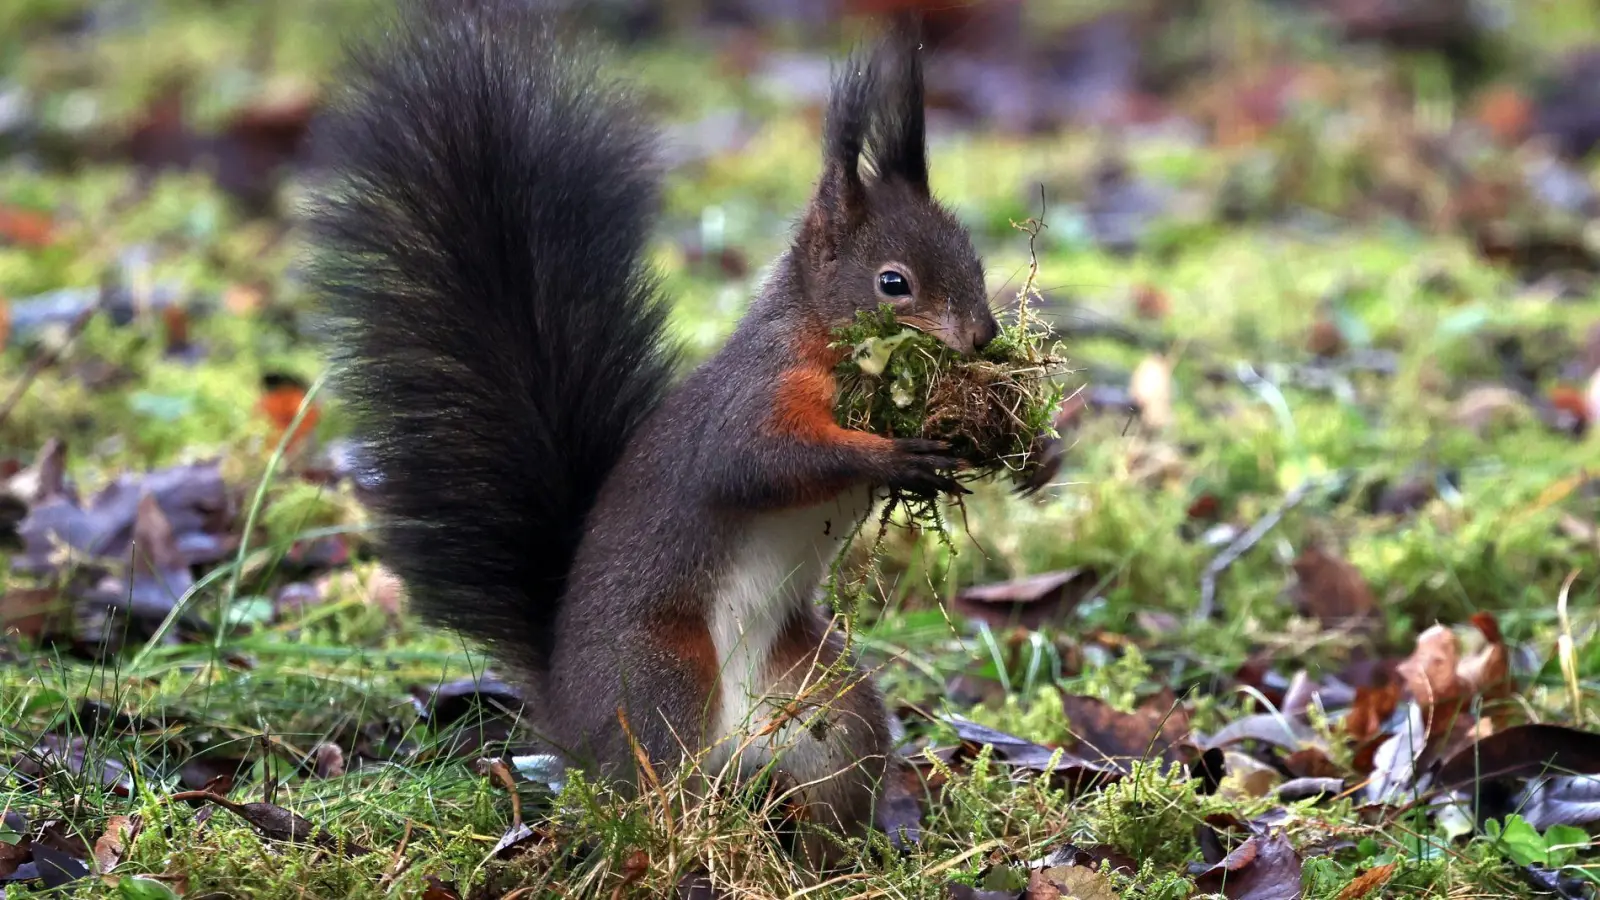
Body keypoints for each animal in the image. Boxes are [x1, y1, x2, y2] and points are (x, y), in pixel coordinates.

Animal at [305, 0, 992, 858]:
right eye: (893, 283)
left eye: (975, 259)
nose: (985, 336)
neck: (815, 339)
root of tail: (567, 715)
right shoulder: (752, 400)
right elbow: (759, 462)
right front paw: (895, 454)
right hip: (662, 676)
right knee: (658, 785)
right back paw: (682, 843)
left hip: (825, 702)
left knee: (831, 774)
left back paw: (841, 855)